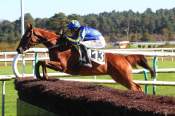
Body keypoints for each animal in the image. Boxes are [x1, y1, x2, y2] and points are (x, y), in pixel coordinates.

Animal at [16, 24, 155, 91]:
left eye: (26, 35)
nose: (18, 49)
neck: (60, 45)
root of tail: (124, 58)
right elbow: (40, 62)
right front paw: (42, 76)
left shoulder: (63, 66)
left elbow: (43, 62)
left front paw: (43, 76)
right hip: (119, 77)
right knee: (137, 87)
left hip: (123, 76)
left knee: (136, 88)